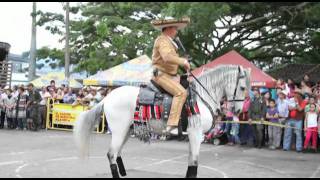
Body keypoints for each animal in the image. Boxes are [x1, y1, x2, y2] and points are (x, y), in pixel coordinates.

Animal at [74, 64, 251, 177]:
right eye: (242, 88)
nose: (238, 111)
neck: (200, 98)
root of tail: (107, 98)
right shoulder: (196, 134)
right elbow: (194, 161)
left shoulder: (193, 135)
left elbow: (191, 162)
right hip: (119, 131)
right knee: (111, 154)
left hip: (126, 131)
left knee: (116, 154)